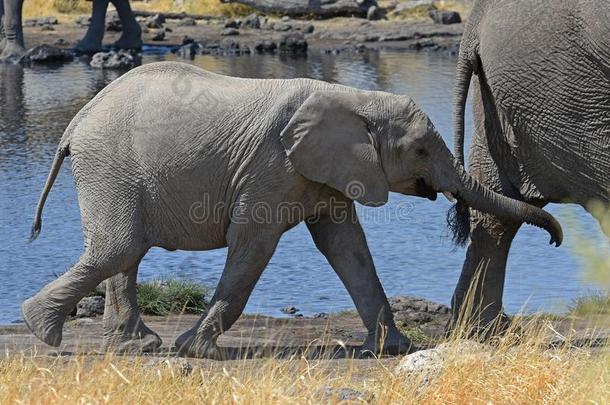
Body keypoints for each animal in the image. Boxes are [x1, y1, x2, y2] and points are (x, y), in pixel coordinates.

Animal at [21, 60, 560, 356]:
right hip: (110, 165)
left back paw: (136, 345)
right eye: (422, 150)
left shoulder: (326, 170)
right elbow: (253, 245)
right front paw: (195, 350)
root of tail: (76, 121)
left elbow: (346, 247)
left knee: (125, 251)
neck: (353, 95)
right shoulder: (271, 167)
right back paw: (42, 330)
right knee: (121, 247)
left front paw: (390, 351)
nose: (557, 239)